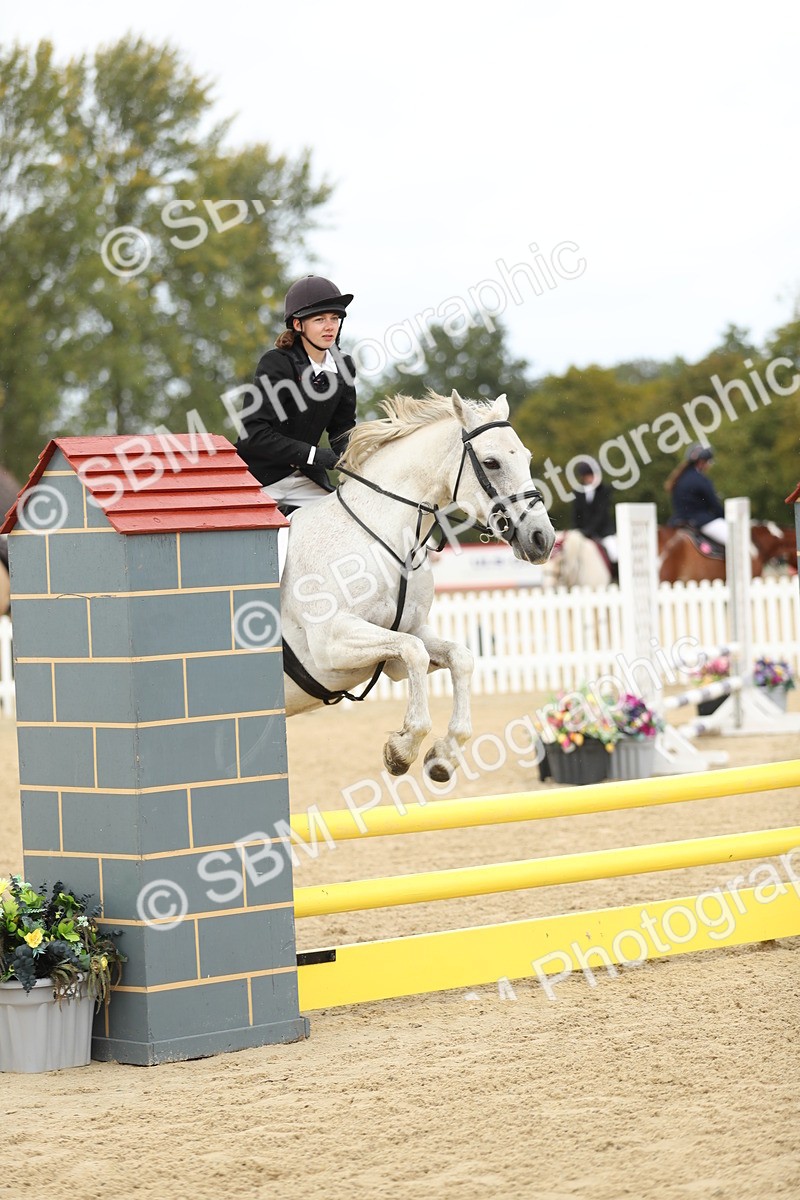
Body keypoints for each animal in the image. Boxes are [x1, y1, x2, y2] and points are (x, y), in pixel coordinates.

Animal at [279, 390, 555, 781]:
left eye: (527, 458)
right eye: (492, 462)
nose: (542, 539)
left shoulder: (410, 633)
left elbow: (458, 657)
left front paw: (443, 755)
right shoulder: (331, 643)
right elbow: (414, 653)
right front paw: (402, 749)